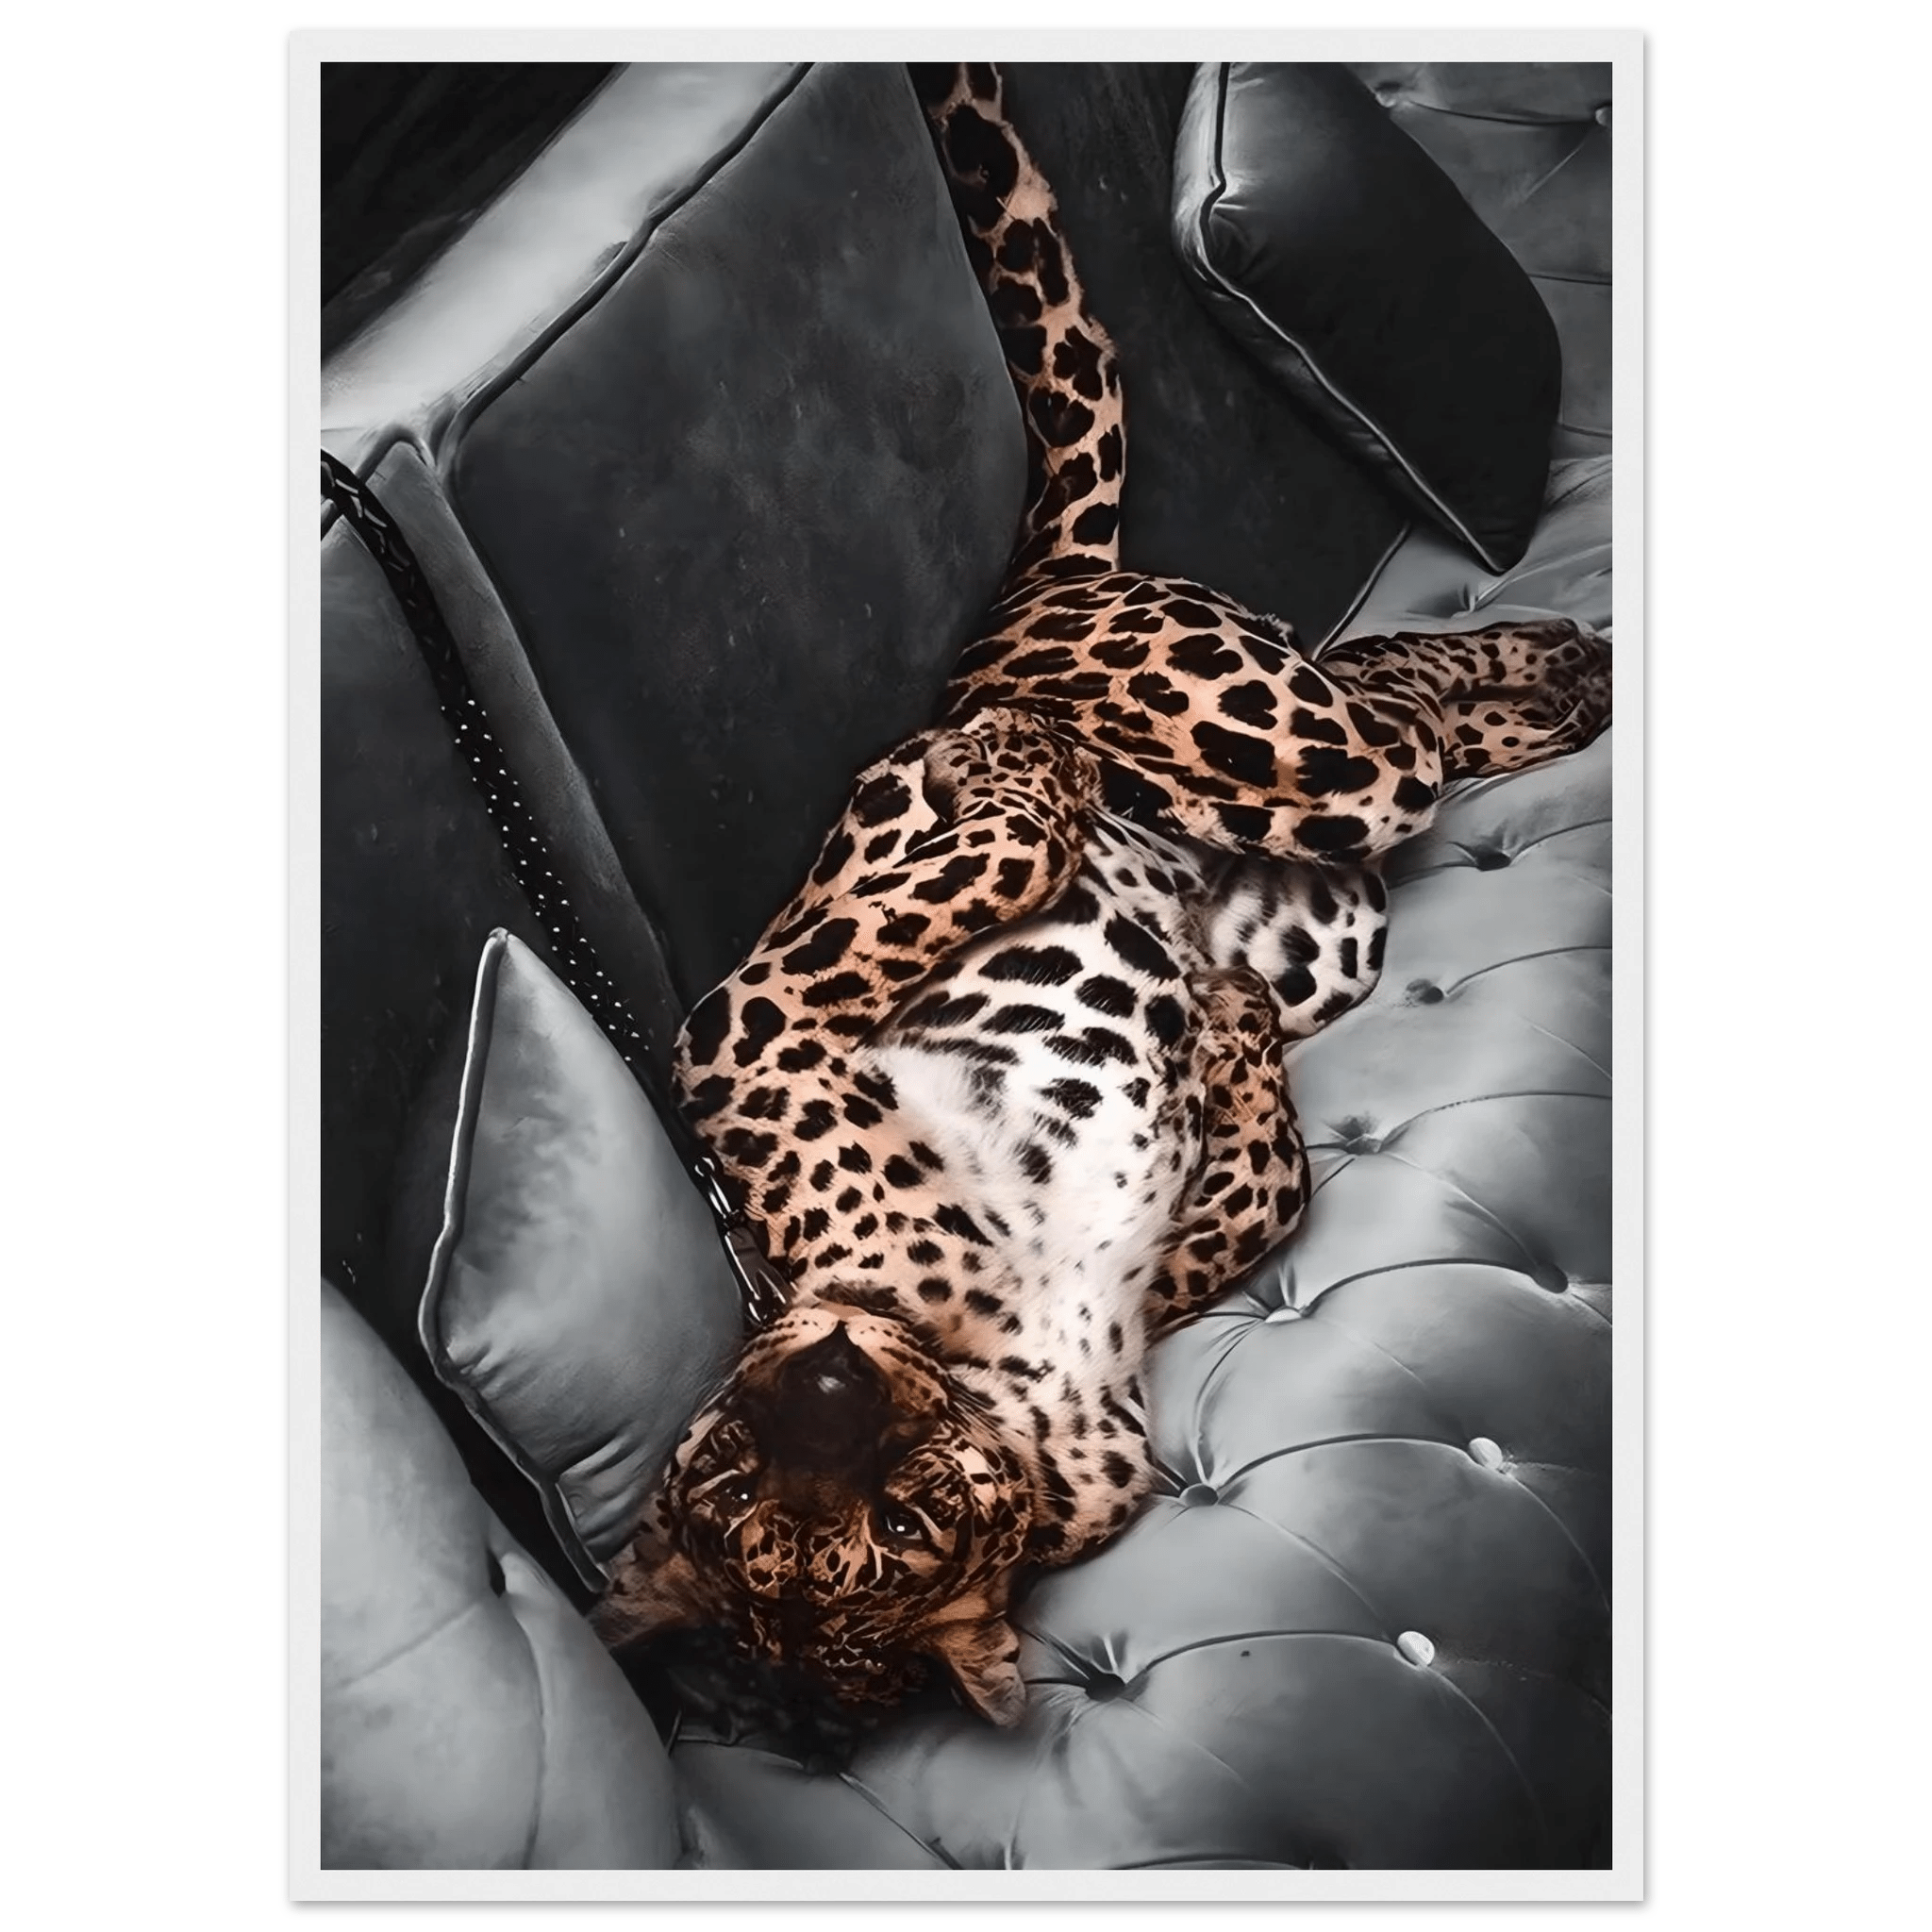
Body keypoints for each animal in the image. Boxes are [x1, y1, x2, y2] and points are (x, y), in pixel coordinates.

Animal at [593, 62, 1611, 1727]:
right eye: (769, 1507)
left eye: (737, 1479)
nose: (822, 1373)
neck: (992, 1375)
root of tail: (1026, 600)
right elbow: (1266, 1183)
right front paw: (1222, 1040)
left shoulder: (746, 1031)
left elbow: (981, 865)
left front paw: (1016, 786)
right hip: (1315, 875)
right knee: (1406, 710)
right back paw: (1555, 689)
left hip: (1263, 734)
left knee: (1385, 694)